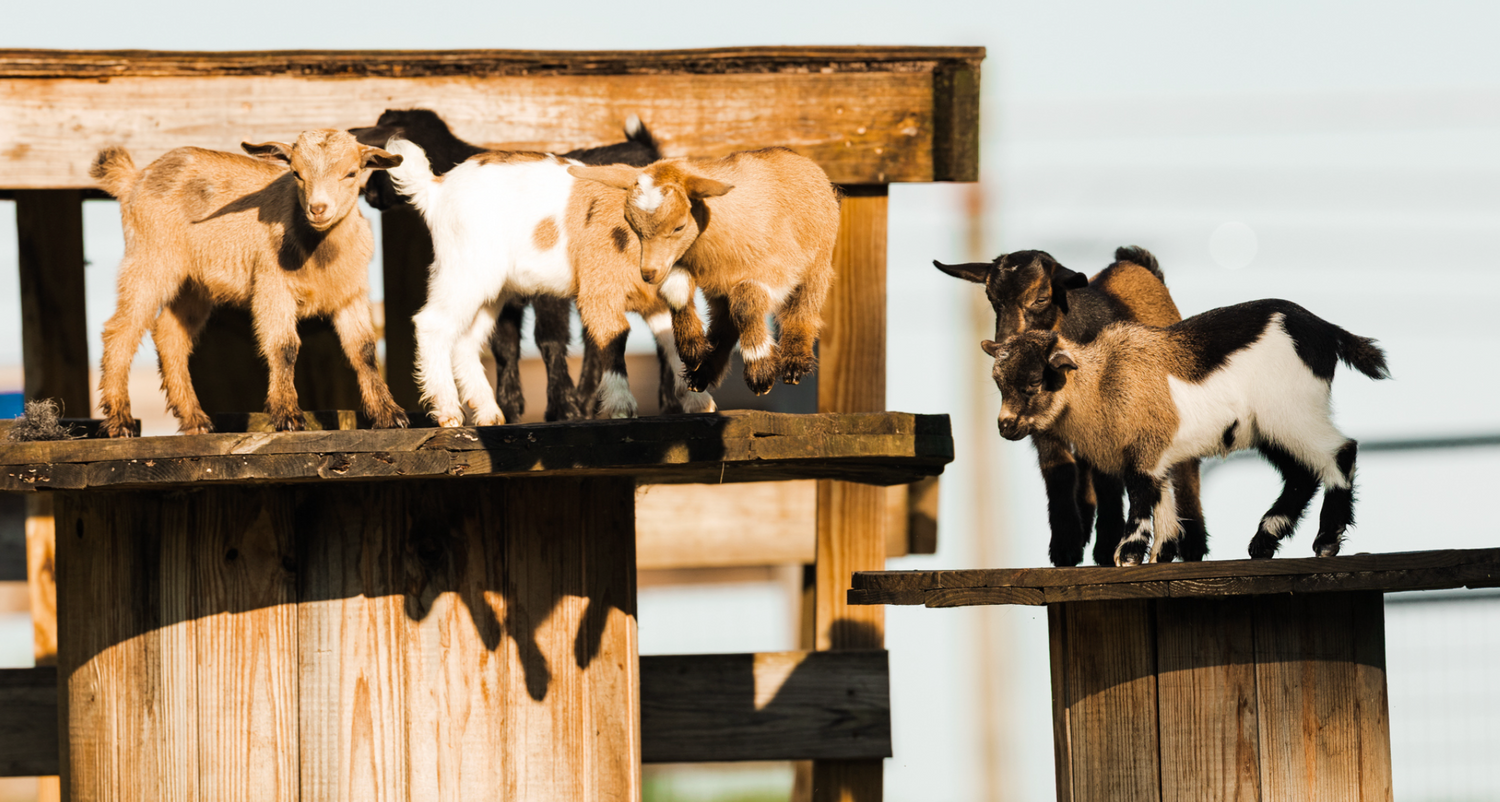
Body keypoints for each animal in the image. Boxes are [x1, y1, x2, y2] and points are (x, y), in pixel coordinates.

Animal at [91, 130, 408, 437]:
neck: (319, 255)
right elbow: (284, 346)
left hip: (193, 284)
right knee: (122, 329)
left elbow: (364, 351)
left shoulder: (350, 293)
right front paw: (288, 416)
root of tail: (134, 180)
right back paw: (120, 421)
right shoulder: (273, 286)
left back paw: (196, 420)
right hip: (150, 259)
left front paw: (389, 415)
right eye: (296, 173)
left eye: (352, 173)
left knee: (170, 335)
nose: (318, 209)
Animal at [351, 109, 667, 422]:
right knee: (436, 325)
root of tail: (436, 190)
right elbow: (514, 345)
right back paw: (453, 410)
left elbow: (545, 340)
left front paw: (558, 407)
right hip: (470, 273)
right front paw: (538, 406)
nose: (370, 197)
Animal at [569, 148, 839, 396]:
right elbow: (676, 293)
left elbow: (746, 303)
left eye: (679, 226)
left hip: (817, 263)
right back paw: (702, 374)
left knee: (803, 307)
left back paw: (794, 364)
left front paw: (760, 371)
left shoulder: (777, 268)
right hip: (719, 289)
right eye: (631, 223)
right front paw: (693, 351)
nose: (648, 273)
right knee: (724, 320)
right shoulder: (681, 264)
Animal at [936, 247, 1206, 566]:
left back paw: (1193, 543)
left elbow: (1107, 478)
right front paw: (1065, 546)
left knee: (1186, 464)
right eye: (992, 298)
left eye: (1041, 298)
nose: (1003, 346)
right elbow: (1059, 472)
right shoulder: (1040, 419)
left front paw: (1106, 546)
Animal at [983, 299, 1389, 565]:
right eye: (998, 383)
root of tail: (1328, 333)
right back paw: (1264, 540)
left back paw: (1325, 542)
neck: (1100, 381)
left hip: (1292, 412)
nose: (1005, 426)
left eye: (1034, 383)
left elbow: (1141, 492)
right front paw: (1161, 553)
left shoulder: (1144, 446)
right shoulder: (1155, 451)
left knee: (1340, 452)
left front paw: (1128, 553)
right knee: (1301, 474)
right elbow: (1162, 494)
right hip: (1272, 427)